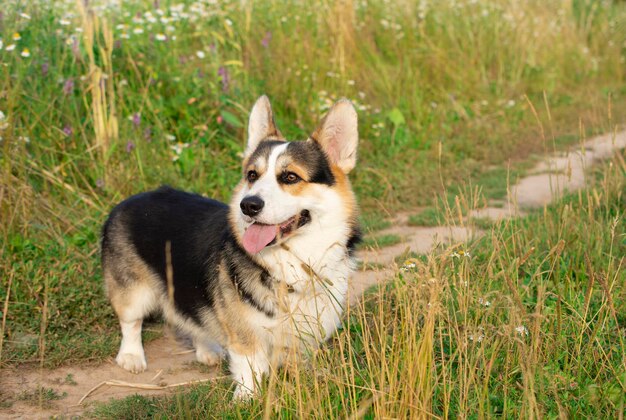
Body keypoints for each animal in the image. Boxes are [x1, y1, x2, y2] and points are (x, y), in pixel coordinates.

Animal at [100, 96, 358, 398]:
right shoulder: (245, 334)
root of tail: (127, 201)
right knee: (131, 322)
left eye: (290, 177)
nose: (248, 205)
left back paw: (207, 351)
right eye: (252, 175)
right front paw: (247, 399)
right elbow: (250, 369)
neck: (295, 257)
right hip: (133, 292)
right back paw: (131, 356)